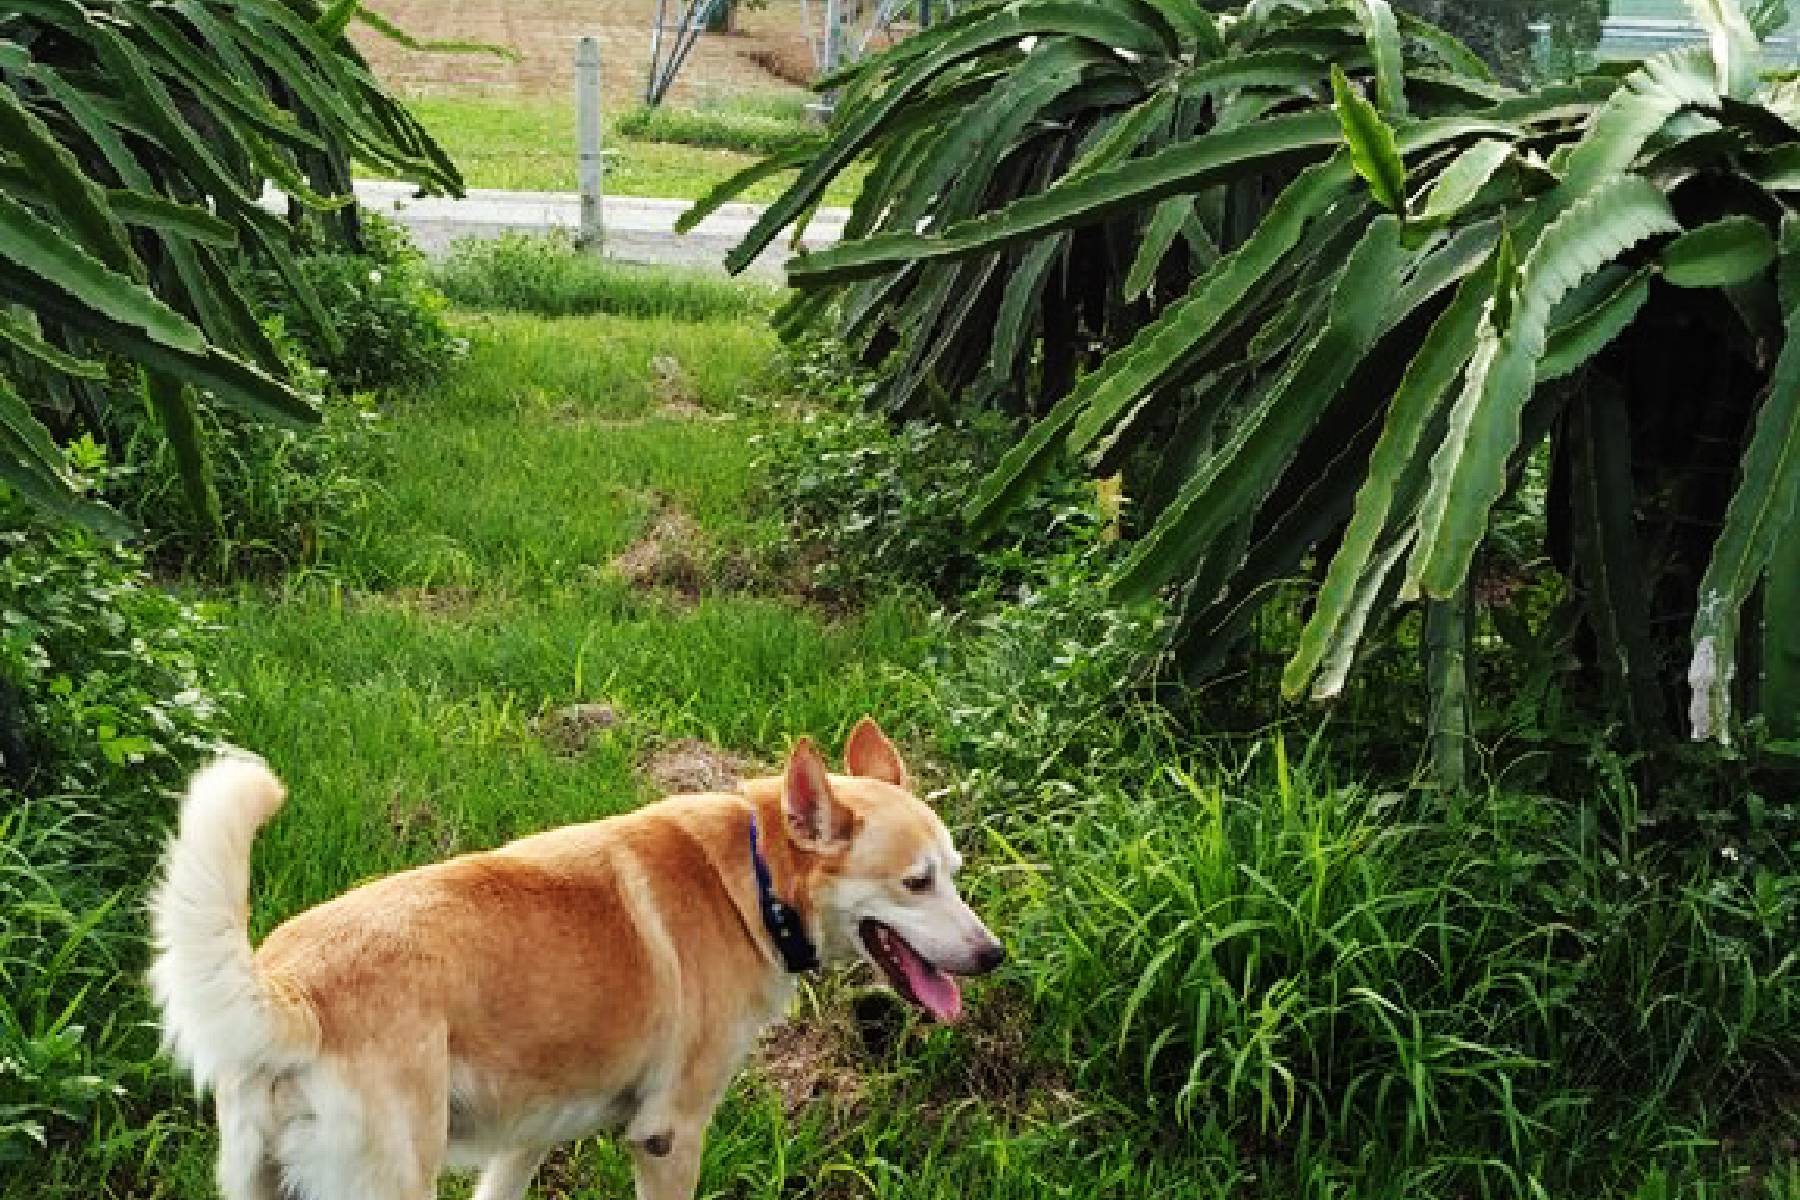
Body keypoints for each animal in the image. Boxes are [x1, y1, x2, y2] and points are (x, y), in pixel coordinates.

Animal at [147, 723, 1008, 1200]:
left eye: (956, 872)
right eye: (916, 883)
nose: (993, 955)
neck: (752, 881)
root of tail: (294, 990)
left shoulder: (531, 1132)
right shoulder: (668, 1136)